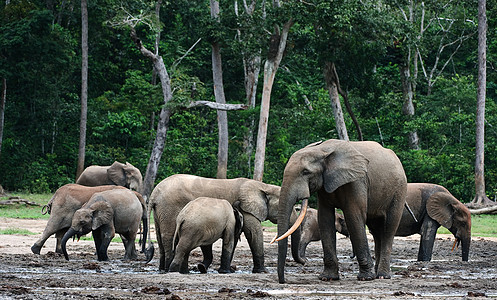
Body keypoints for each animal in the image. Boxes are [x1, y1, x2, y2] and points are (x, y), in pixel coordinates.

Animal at [146, 173, 302, 274]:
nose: (304, 261)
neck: (263, 186)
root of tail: (154, 194)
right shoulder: (247, 210)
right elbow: (253, 234)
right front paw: (262, 272)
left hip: (161, 213)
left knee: (161, 239)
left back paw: (162, 269)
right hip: (169, 209)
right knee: (170, 237)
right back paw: (169, 269)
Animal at [276, 139, 406, 282]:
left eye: (305, 172)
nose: (283, 281)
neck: (322, 149)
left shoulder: (357, 180)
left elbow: (353, 217)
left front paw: (365, 278)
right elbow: (325, 219)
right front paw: (327, 278)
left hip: (399, 190)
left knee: (389, 228)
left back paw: (383, 276)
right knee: (376, 231)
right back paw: (378, 274)